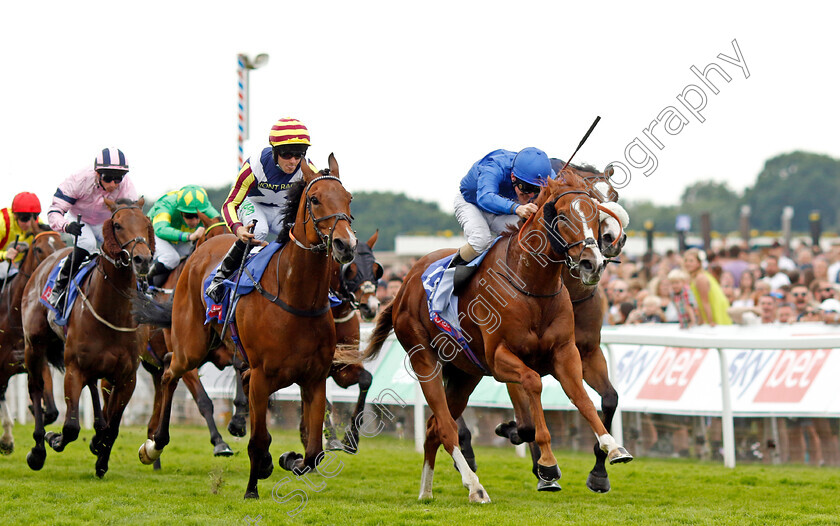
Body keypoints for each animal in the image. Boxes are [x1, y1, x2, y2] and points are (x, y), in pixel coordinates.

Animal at [21, 198, 153, 478]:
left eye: (146, 223)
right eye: (117, 224)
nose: (143, 259)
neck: (113, 313)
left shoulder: (128, 377)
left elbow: (113, 427)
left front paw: (101, 458)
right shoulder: (73, 369)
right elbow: (70, 427)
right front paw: (54, 438)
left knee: (93, 389)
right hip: (33, 345)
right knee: (36, 388)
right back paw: (37, 449)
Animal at [139, 210, 235, 470]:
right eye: (213, 237)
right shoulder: (186, 359)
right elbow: (204, 401)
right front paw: (220, 443)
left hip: (154, 370)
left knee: (157, 404)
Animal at [360, 172, 632, 504]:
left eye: (595, 213)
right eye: (563, 215)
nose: (593, 263)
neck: (532, 286)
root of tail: (404, 285)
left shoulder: (569, 353)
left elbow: (584, 397)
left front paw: (612, 449)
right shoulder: (502, 358)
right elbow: (532, 388)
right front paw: (547, 465)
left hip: (465, 373)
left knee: (433, 427)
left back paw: (426, 490)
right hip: (424, 359)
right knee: (446, 427)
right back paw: (474, 485)